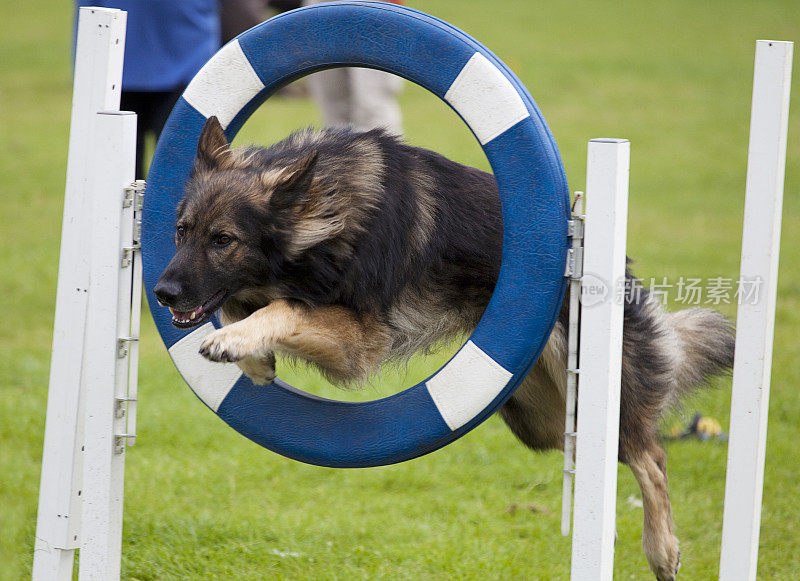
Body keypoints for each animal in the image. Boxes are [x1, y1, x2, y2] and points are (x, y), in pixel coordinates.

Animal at [153, 115, 736, 576]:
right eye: (181, 231)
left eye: (223, 240)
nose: (162, 293)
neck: (323, 211)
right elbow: (246, 305)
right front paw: (252, 358)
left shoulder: (360, 338)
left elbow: (282, 309)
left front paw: (234, 342)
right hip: (541, 418)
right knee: (614, 449)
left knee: (651, 453)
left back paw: (662, 549)